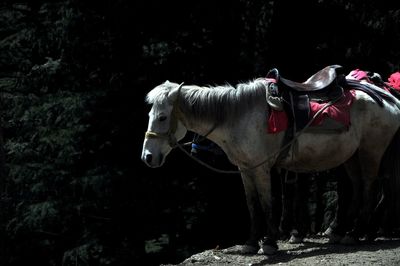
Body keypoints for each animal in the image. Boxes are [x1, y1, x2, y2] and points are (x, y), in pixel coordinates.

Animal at [140, 68, 400, 254]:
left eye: (162, 117)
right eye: (150, 115)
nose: (148, 157)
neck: (238, 116)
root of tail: (390, 99)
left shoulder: (262, 168)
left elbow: (266, 203)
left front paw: (270, 242)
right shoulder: (246, 169)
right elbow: (253, 205)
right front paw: (251, 242)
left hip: (371, 152)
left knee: (370, 188)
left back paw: (356, 233)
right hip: (352, 157)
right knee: (358, 188)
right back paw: (344, 232)